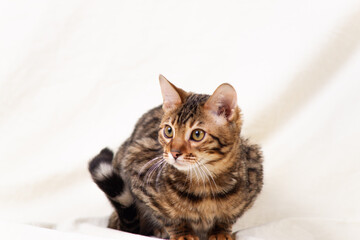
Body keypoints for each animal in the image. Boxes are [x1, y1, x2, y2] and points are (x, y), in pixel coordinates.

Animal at [88, 75, 262, 240]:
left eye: (197, 134)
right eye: (168, 131)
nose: (174, 153)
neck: (204, 182)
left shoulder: (254, 170)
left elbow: (228, 217)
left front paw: (220, 231)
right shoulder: (137, 165)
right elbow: (169, 217)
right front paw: (182, 233)